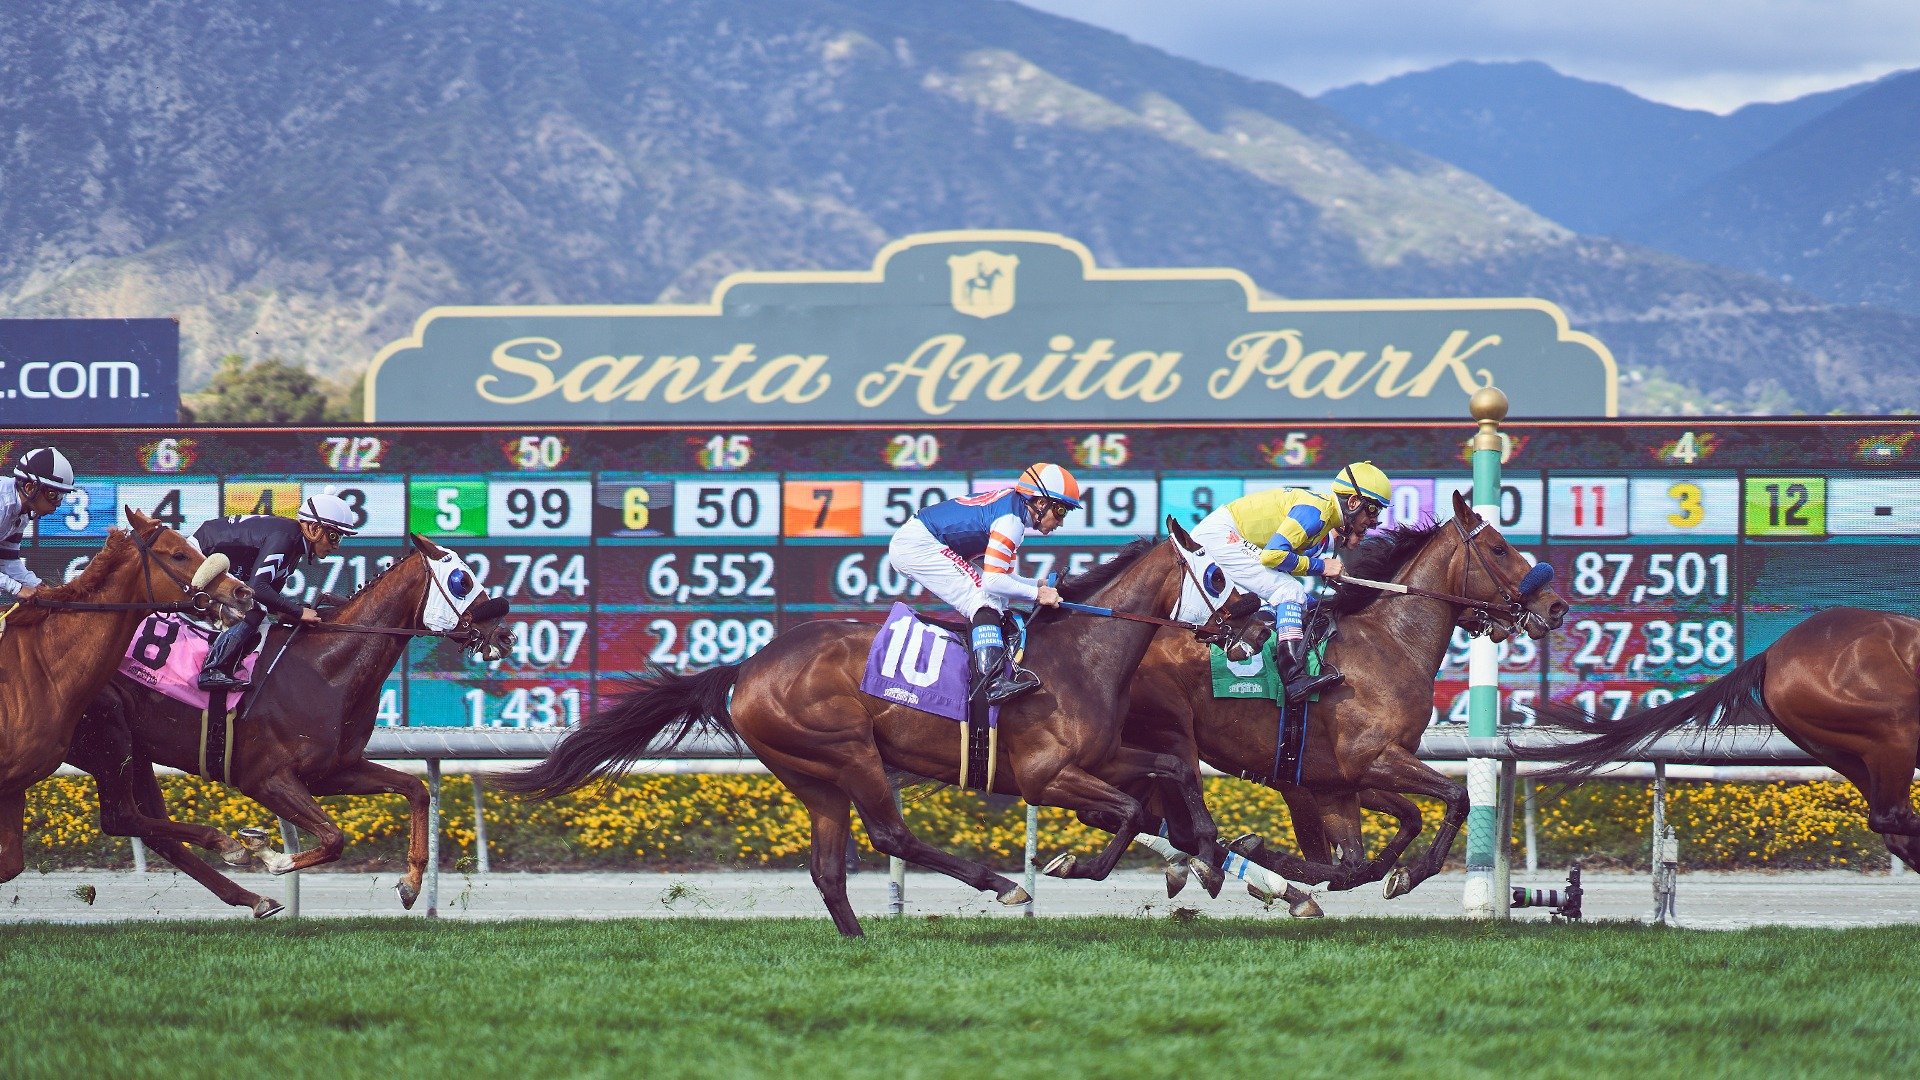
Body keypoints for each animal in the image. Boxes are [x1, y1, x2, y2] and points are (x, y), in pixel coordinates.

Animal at [0, 507, 251, 880]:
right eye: (178, 554)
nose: (242, 592)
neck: (38, 667)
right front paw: (228, 843)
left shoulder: (15, 784)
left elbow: (10, 864)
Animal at [72, 534, 514, 910]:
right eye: (462, 580)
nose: (505, 636)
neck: (323, 669)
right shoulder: (263, 778)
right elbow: (334, 838)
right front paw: (268, 853)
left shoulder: (332, 771)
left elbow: (416, 790)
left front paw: (411, 884)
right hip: (109, 735)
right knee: (122, 818)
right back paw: (235, 855)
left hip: (135, 751)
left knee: (152, 830)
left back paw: (252, 897)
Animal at [503, 538, 1267, 933]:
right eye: (1217, 572)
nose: (1259, 623)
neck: (1081, 654)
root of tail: (746, 667)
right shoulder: (1047, 777)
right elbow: (1133, 808)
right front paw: (1070, 868)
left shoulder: (1104, 758)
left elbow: (1172, 769)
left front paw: (1204, 858)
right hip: (848, 753)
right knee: (890, 835)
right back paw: (999, 886)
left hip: (810, 776)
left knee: (828, 866)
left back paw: (859, 940)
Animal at [1121, 491, 1559, 895]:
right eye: (1499, 548)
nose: (1556, 607)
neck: (1392, 641)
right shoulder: (1370, 759)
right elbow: (1456, 795)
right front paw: (1410, 873)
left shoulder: (1337, 780)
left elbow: (1370, 850)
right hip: (1171, 734)